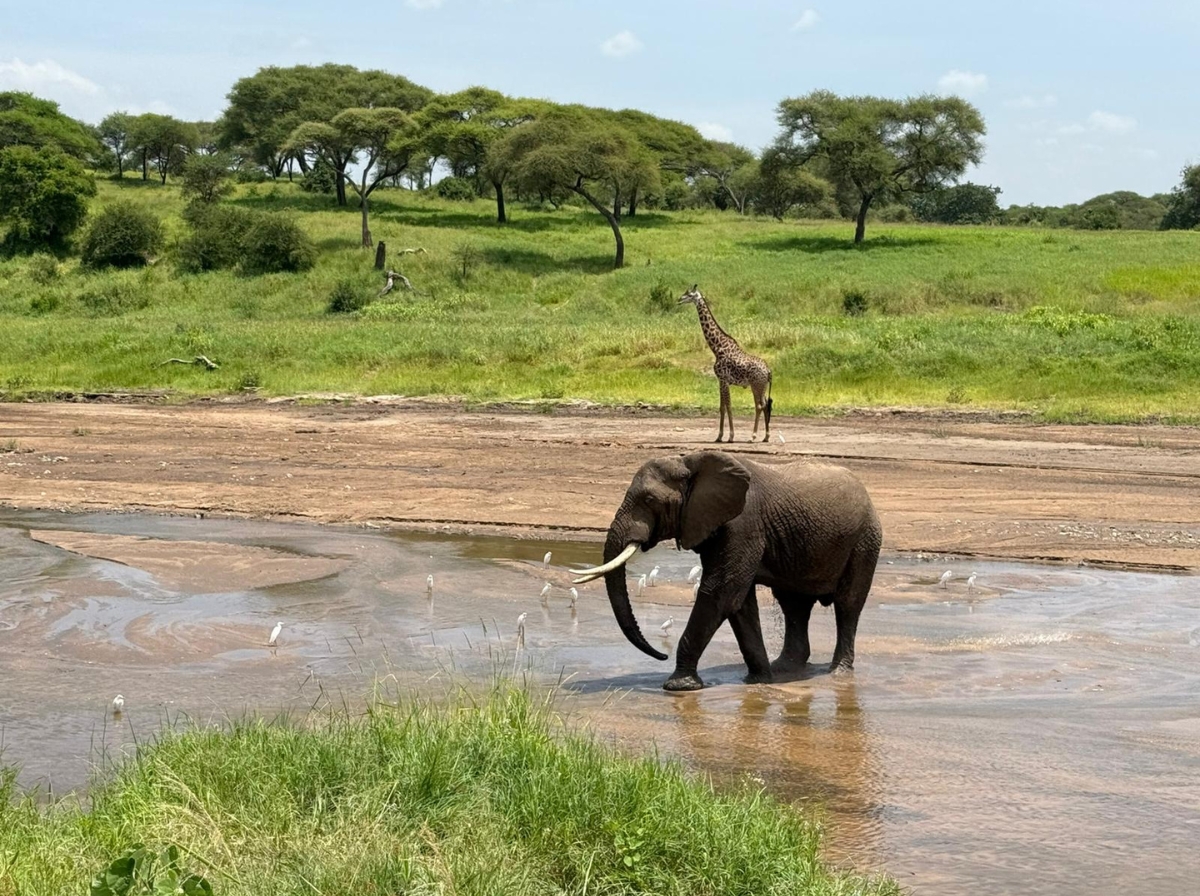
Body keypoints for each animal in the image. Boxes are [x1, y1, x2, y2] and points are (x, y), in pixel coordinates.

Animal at [572, 450, 882, 691]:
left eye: (649, 500)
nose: (661, 656)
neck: (689, 462)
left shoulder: (742, 523)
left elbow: (720, 593)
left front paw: (679, 686)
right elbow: (739, 602)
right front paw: (758, 680)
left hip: (866, 540)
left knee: (847, 604)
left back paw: (838, 671)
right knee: (793, 605)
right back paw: (785, 668)